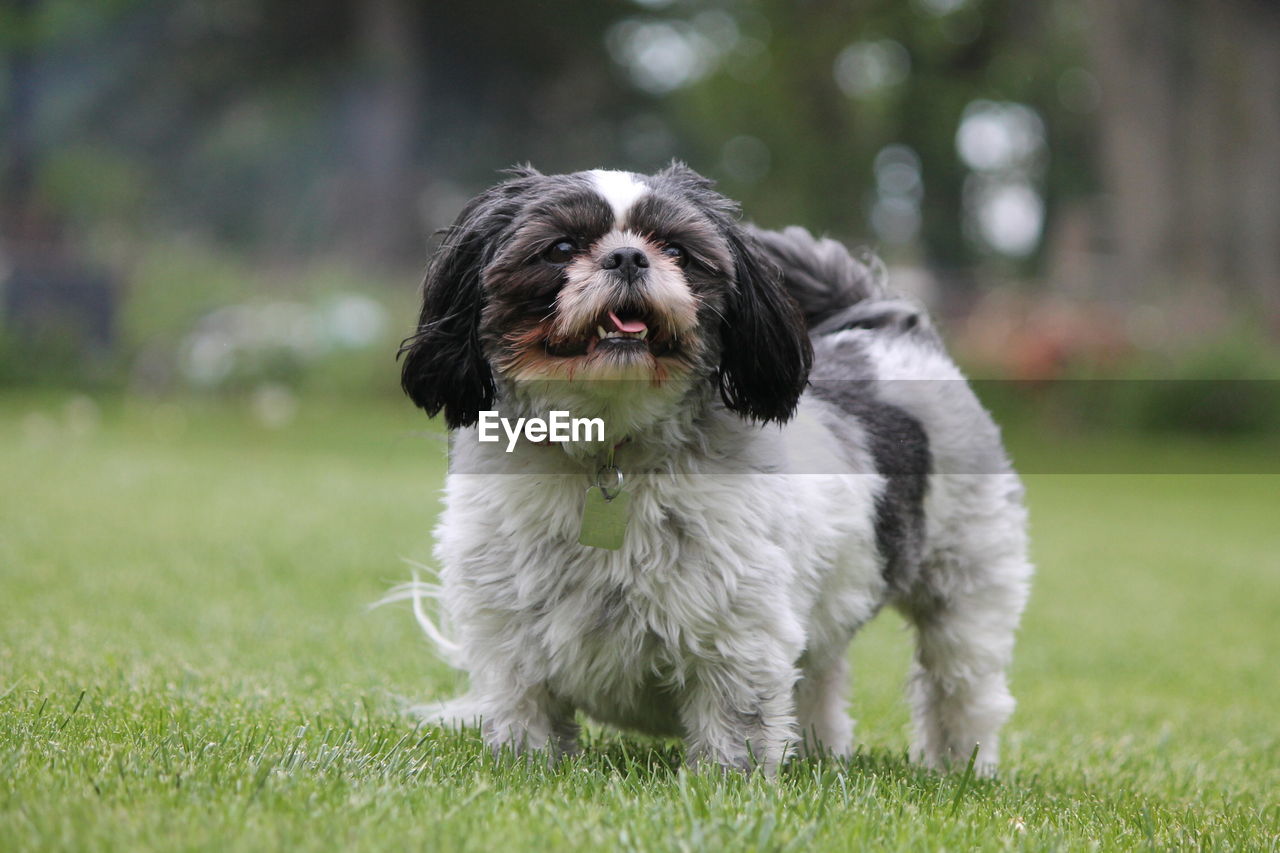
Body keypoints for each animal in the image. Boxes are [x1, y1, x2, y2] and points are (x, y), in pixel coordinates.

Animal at [394, 162, 1034, 773]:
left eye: (676, 250)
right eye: (559, 247)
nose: (628, 256)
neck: (611, 448)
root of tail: (886, 334)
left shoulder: (741, 628)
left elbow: (737, 719)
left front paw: (726, 783)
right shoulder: (507, 632)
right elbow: (525, 715)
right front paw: (527, 769)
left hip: (968, 582)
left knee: (960, 683)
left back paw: (957, 766)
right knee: (822, 678)